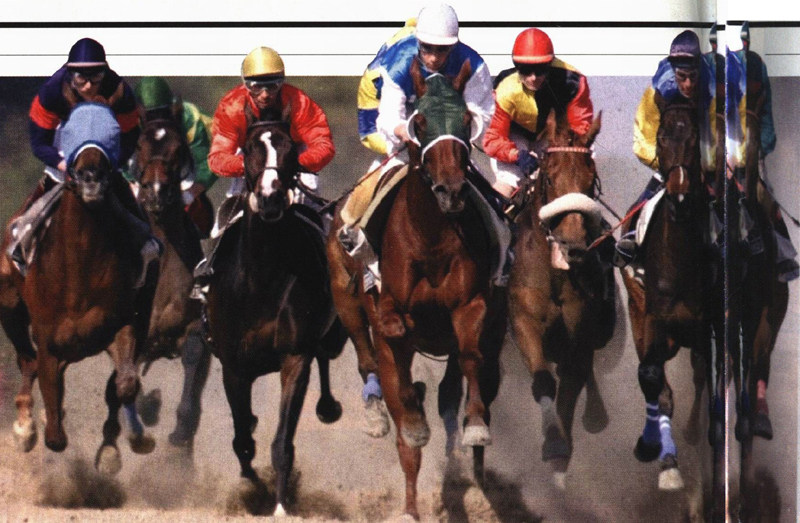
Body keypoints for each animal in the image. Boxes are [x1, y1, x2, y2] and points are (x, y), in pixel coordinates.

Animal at [0, 105, 157, 473]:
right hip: (9, 303)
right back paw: (26, 427)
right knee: (26, 360)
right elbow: (55, 434)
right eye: (69, 126)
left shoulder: (122, 325)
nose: (91, 177)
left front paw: (117, 449)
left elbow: (124, 385)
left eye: (112, 130)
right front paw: (39, 425)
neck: (79, 270)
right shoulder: (49, 342)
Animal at [126, 116, 212, 450]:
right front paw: (148, 407)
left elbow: (192, 356)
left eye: (178, 148)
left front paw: (180, 430)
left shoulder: (195, 327)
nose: (156, 192)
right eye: (139, 145)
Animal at [203, 104, 347, 515]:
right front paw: (252, 490)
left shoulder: (294, 357)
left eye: (289, 150)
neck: (262, 277)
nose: (269, 198)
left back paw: (328, 406)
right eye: (251, 148)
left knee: (325, 356)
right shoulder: (233, 365)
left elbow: (282, 441)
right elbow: (241, 442)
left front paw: (280, 504)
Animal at [360, 59, 507, 519]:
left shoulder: (471, 305)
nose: (451, 191)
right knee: (406, 434)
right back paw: (410, 501)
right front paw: (413, 417)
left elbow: (471, 355)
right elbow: (395, 335)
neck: (430, 236)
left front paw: (474, 426)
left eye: (465, 121)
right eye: (420, 121)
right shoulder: (389, 309)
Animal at [507, 109, 613, 486]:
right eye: (550, 177)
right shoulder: (523, 319)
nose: (572, 244)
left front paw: (559, 453)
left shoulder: (579, 330)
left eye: (590, 179)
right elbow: (543, 380)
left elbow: (570, 383)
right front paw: (552, 441)